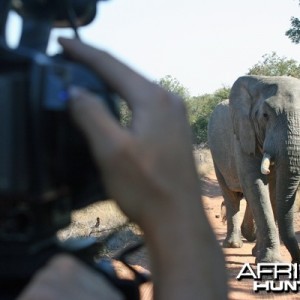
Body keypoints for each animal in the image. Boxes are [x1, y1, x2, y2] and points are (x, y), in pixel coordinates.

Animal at [207, 76, 300, 264]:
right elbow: (255, 183)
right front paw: (270, 262)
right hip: (216, 156)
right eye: (265, 116)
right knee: (231, 196)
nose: (295, 261)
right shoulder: (243, 135)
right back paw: (234, 244)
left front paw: (260, 254)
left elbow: (272, 191)